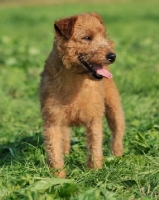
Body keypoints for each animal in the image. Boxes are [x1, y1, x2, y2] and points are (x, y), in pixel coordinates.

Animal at [39, 12, 125, 178]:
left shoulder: (94, 119)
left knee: (117, 134)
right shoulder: (52, 121)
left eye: (102, 35)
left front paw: (95, 170)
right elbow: (54, 151)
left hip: (114, 109)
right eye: (86, 37)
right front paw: (58, 177)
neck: (75, 79)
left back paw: (117, 156)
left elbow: (95, 147)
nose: (112, 56)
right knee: (65, 138)